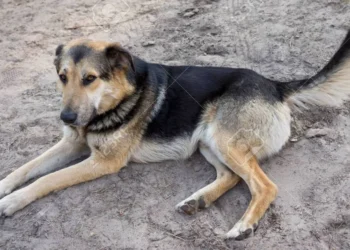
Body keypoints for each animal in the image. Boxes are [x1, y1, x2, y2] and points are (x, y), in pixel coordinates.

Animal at [0, 29, 350, 240]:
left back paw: (243, 225)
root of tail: (275, 86)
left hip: (222, 139)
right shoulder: (70, 142)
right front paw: (5, 186)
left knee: (264, 186)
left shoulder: (104, 161)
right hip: (208, 142)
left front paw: (12, 201)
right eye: (63, 77)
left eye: (90, 78)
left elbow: (46, 179)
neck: (118, 98)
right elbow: (26, 168)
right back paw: (197, 201)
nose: (67, 117)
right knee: (232, 177)